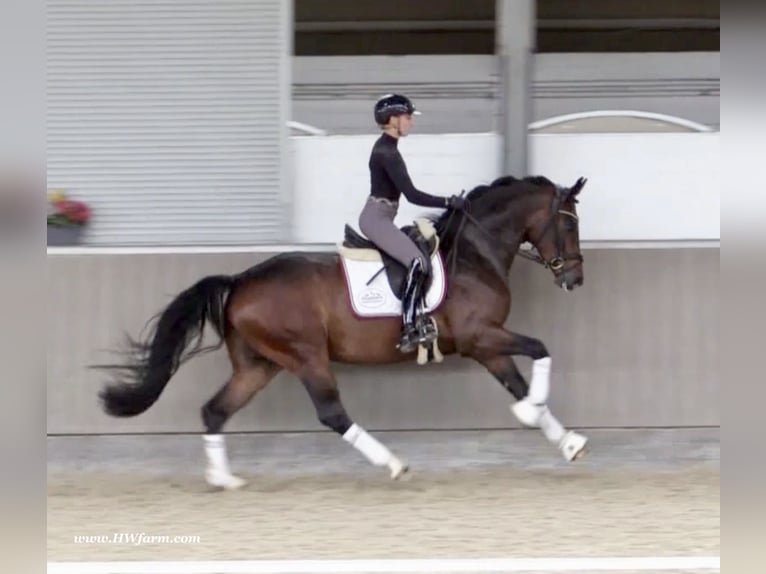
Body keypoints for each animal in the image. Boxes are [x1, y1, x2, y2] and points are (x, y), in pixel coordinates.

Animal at [96, 173, 588, 488]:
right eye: (569, 224)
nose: (576, 279)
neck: (473, 252)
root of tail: (239, 281)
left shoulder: (486, 343)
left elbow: (519, 378)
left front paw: (567, 442)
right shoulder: (479, 336)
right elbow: (540, 349)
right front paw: (533, 411)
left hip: (259, 365)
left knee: (215, 410)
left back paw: (224, 479)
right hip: (306, 355)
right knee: (332, 413)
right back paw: (392, 464)